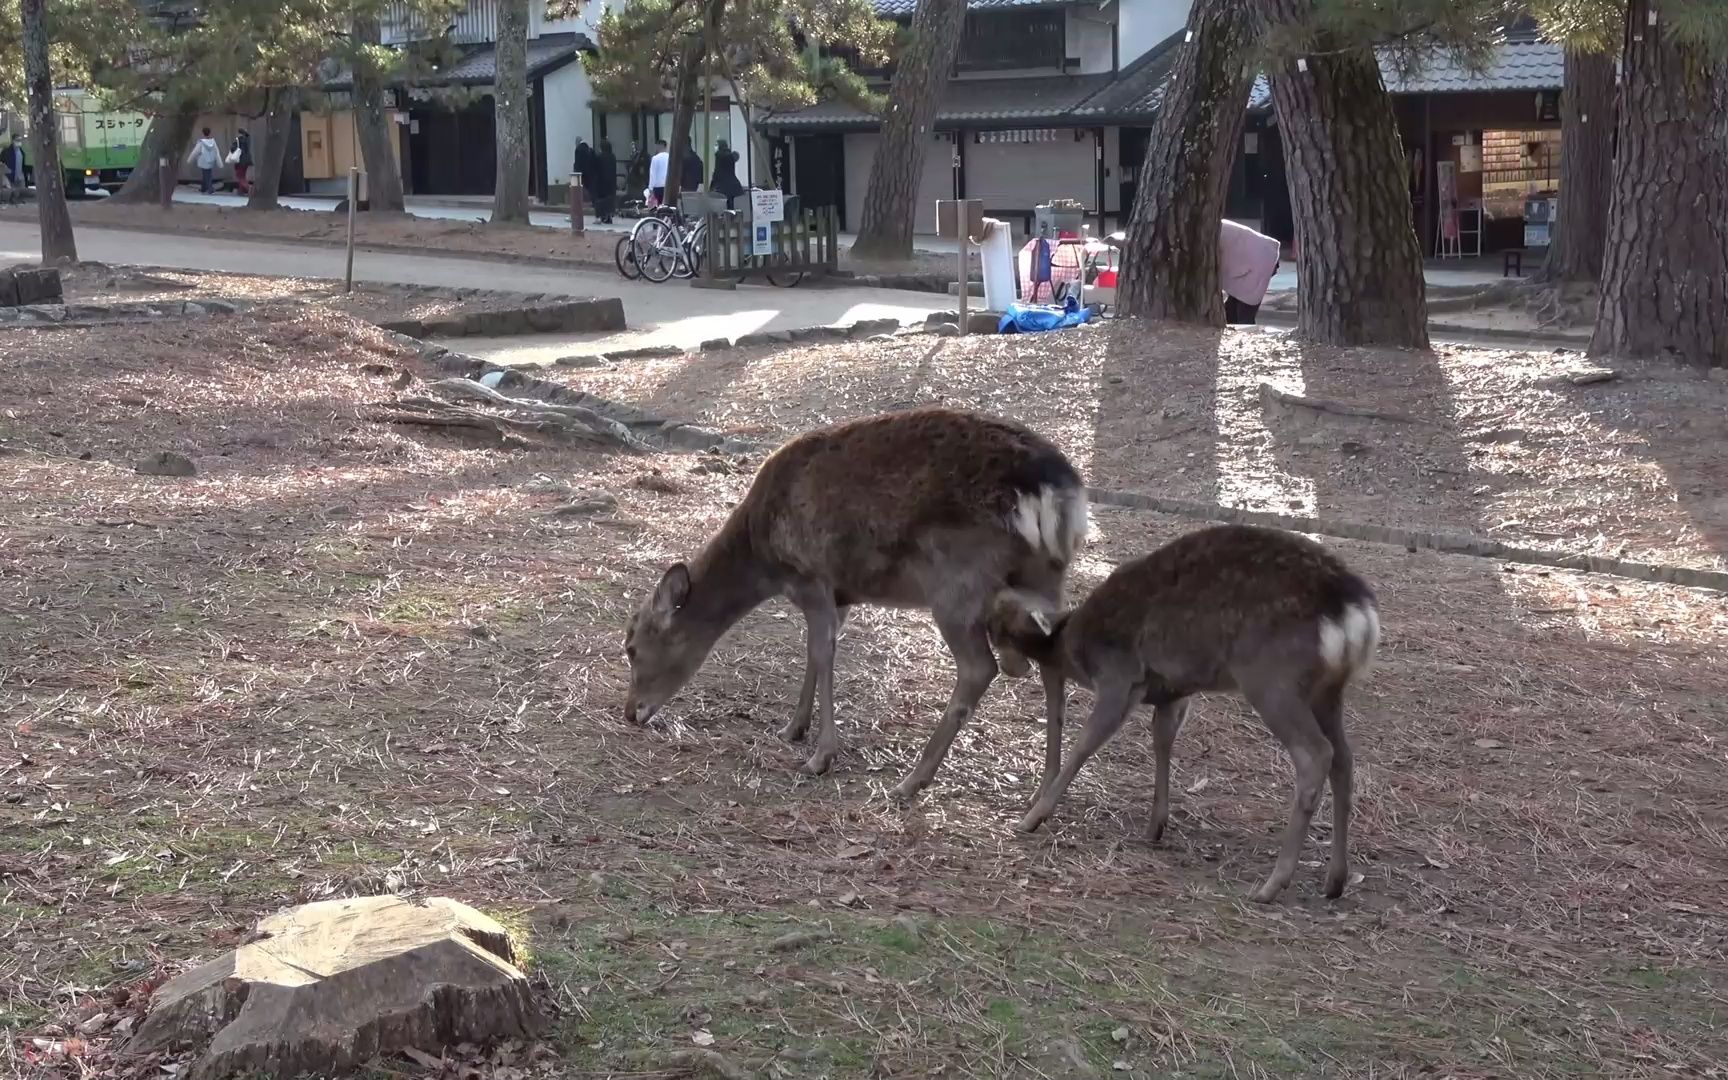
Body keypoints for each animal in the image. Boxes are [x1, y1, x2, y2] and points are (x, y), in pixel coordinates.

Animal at [622, 404, 1085, 791]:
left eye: (631, 648)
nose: (630, 713)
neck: (763, 558)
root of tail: (1060, 492)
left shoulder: (811, 578)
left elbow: (821, 653)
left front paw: (821, 756)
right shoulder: (840, 595)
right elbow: (816, 652)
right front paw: (793, 728)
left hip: (956, 582)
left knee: (979, 667)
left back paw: (913, 779)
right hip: (1045, 578)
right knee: (1051, 660)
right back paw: (1044, 792)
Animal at [995, 521, 1382, 898]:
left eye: (997, 627)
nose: (1006, 668)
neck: (1076, 650)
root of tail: (1356, 616)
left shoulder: (1119, 676)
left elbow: (1085, 744)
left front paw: (1032, 817)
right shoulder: (1173, 693)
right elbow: (1162, 741)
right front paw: (1155, 825)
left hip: (1272, 678)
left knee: (1316, 753)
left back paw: (1272, 884)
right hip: (1327, 691)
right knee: (1344, 758)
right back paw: (1335, 880)